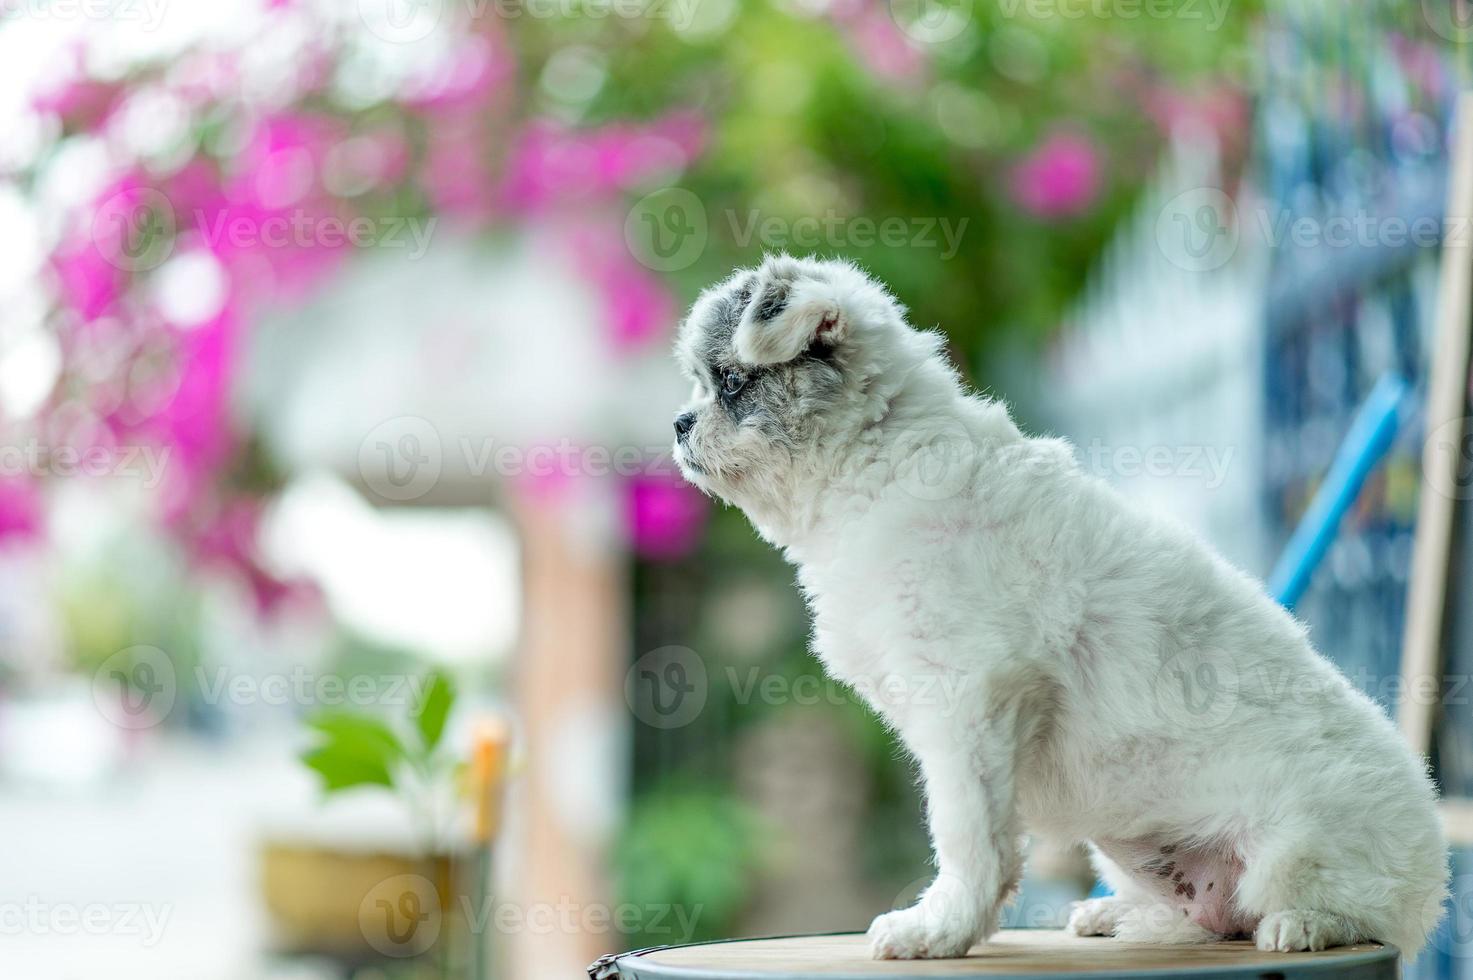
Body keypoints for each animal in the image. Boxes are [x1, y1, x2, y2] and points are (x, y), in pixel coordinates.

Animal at [674, 250, 1449, 954]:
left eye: (731, 382)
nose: (680, 423)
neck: (877, 462)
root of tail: (1431, 872)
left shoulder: (970, 702)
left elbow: (967, 835)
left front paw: (941, 928)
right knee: (1210, 918)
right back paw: (1121, 914)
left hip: (1298, 852)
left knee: (1348, 915)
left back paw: (1306, 925)